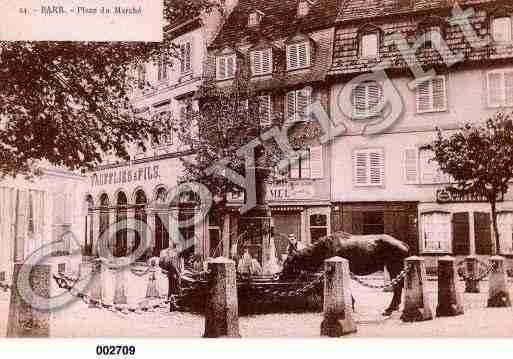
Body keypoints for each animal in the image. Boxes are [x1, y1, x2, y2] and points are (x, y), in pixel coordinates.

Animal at [278, 232, 410, 316]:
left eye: (288, 264)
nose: (280, 277)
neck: (322, 250)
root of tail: (405, 245)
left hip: (394, 265)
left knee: (398, 286)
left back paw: (390, 308)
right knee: (398, 286)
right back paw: (394, 306)